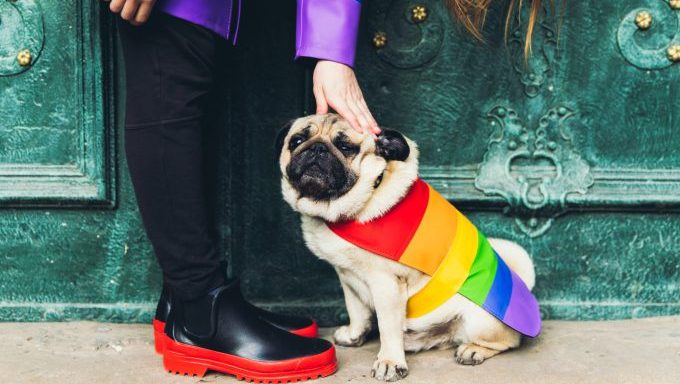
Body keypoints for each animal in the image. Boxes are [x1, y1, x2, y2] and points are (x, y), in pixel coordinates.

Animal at [276, 113, 536, 380]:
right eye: (297, 141)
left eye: (346, 147)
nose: (317, 148)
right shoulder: (347, 277)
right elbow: (356, 310)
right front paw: (354, 335)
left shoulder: (386, 284)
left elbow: (388, 327)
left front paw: (390, 362)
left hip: (480, 320)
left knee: (509, 342)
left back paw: (473, 350)